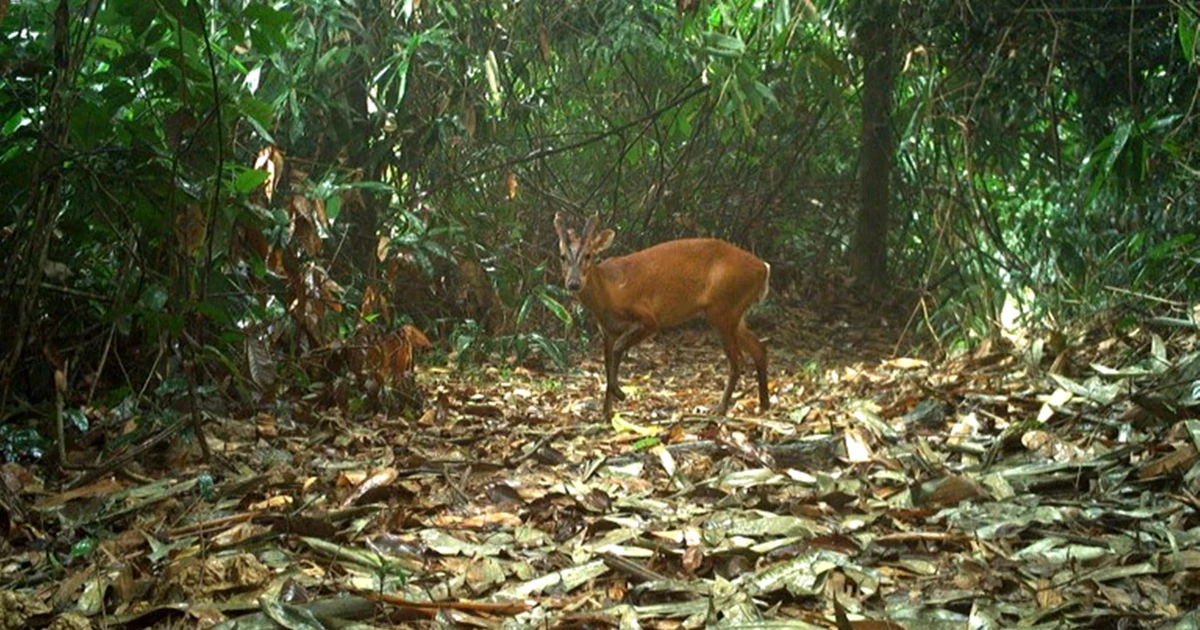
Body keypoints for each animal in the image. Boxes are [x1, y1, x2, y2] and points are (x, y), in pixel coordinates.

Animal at [552, 212, 768, 417]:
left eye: (588, 255)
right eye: (562, 256)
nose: (573, 283)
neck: (609, 290)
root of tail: (764, 268)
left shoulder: (648, 318)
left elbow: (618, 349)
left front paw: (620, 394)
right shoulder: (607, 330)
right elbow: (607, 364)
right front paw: (606, 413)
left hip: (722, 309)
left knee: (737, 360)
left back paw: (721, 409)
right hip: (734, 313)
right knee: (758, 348)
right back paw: (764, 404)